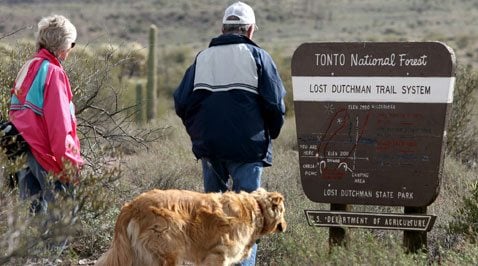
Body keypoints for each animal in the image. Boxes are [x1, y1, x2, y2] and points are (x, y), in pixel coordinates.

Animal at [95, 188, 286, 264]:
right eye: (283, 211)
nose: (285, 226)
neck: (256, 208)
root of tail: (132, 205)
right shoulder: (217, 256)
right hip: (170, 252)